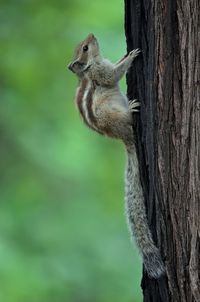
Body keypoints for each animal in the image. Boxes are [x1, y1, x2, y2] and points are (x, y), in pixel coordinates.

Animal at [68, 33, 165, 278]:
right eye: (85, 48)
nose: (92, 35)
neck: (89, 67)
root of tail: (124, 139)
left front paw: (125, 54)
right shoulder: (103, 72)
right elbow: (114, 74)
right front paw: (131, 56)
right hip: (114, 116)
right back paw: (132, 107)